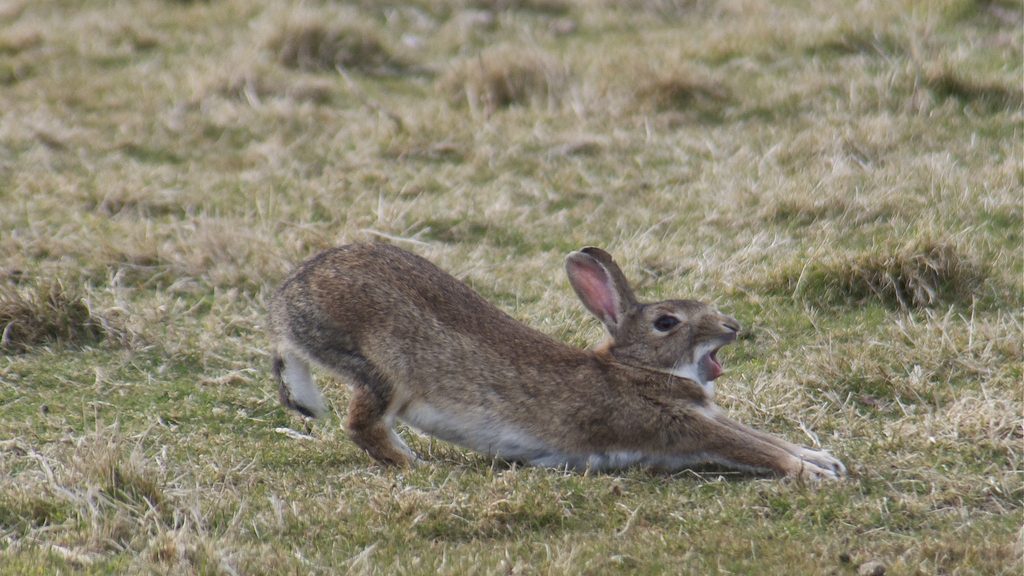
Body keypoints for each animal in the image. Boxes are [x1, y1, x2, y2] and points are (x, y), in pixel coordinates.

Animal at [268, 239, 843, 477]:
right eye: (667, 322)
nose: (732, 327)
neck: (638, 368)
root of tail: (292, 291)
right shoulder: (675, 424)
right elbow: (749, 446)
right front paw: (808, 473)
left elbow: (760, 436)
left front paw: (822, 459)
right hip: (383, 367)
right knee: (362, 422)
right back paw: (413, 462)